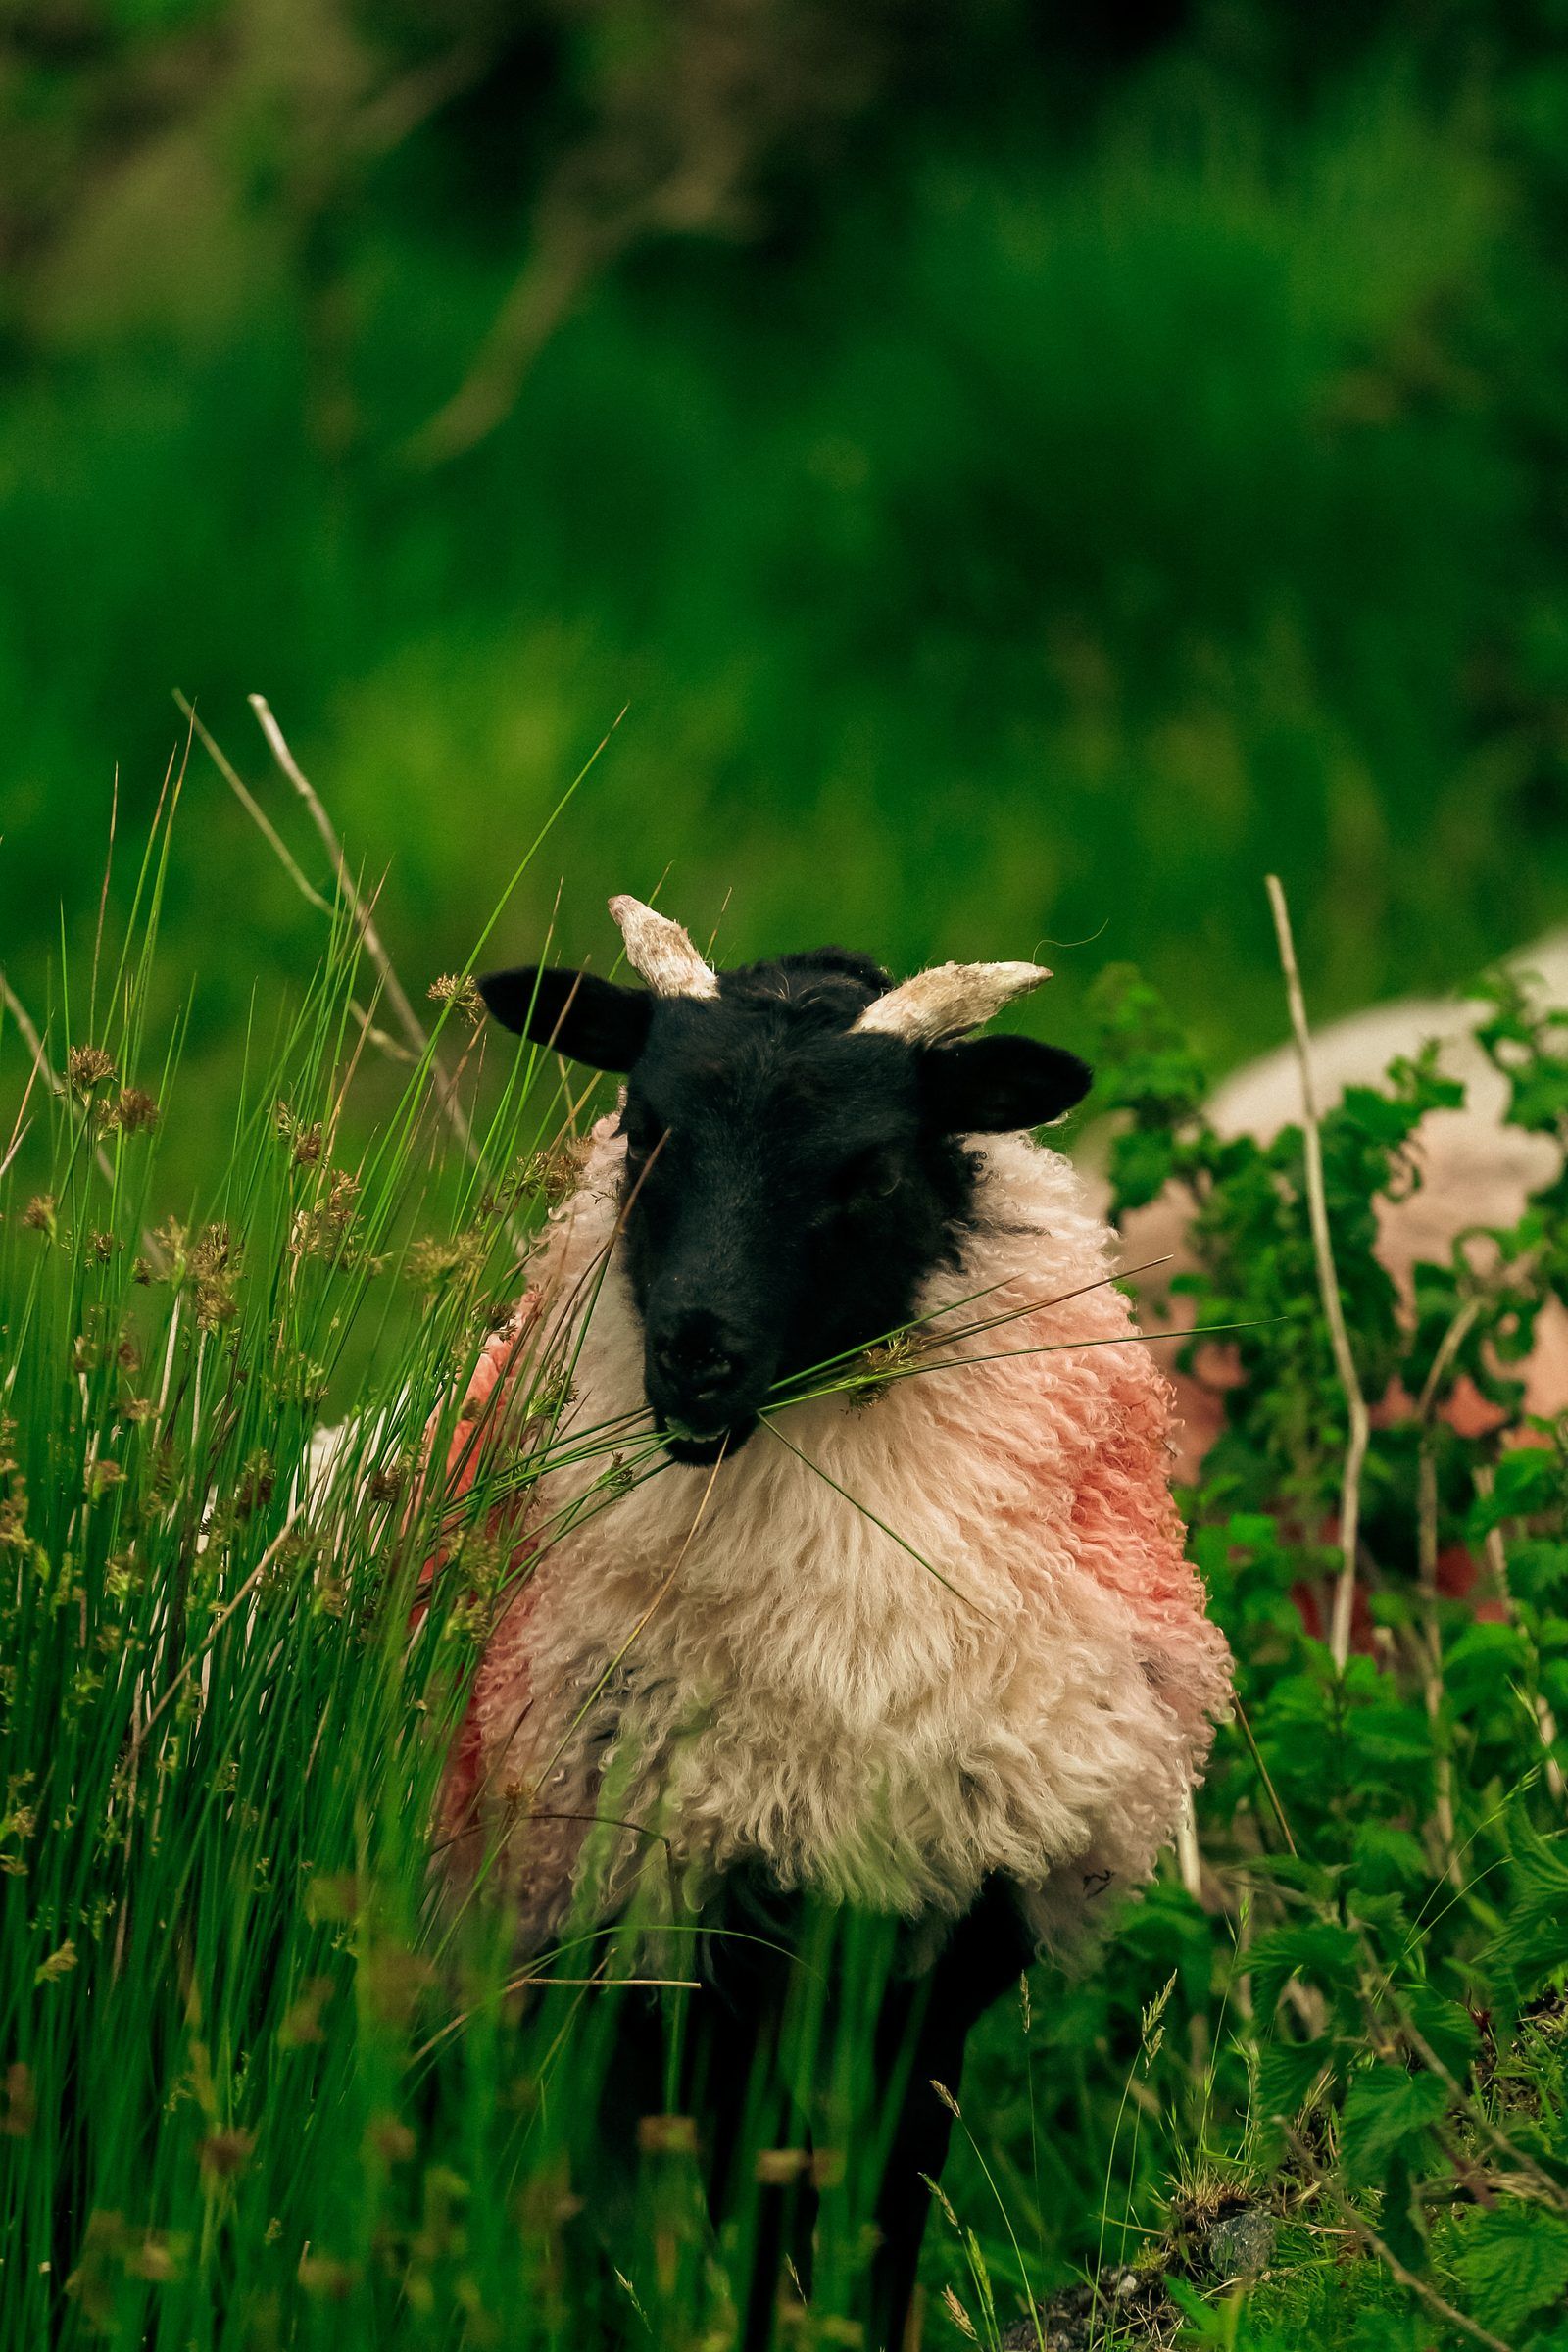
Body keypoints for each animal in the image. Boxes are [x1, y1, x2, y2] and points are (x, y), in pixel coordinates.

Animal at [424, 897, 1232, 2349]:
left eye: (869, 1169)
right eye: (642, 1126)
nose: (695, 1356)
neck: (844, 1659)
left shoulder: (943, 1934)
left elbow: (881, 2202)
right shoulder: (698, 1925)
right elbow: (761, 2207)